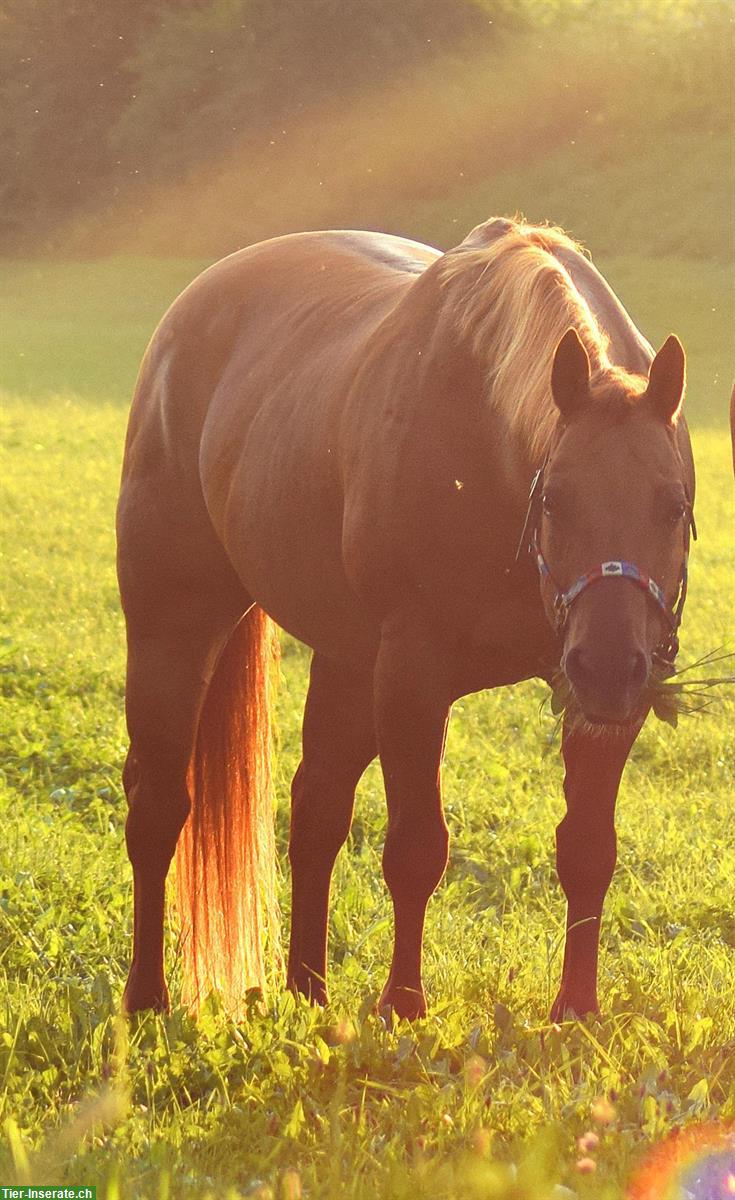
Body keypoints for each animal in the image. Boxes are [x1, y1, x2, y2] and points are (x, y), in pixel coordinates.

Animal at [118, 218, 696, 1022]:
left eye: (672, 506)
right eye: (556, 500)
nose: (609, 666)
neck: (487, 452)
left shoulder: (606, 705)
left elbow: (586, 849)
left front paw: (575, 1010)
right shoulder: (411, 679)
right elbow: (417, 848)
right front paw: (403, 1005)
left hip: (345, 661)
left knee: (317, 808)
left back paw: (308, 989)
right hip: (172, 629)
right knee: (159, 805)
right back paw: (146, 997)